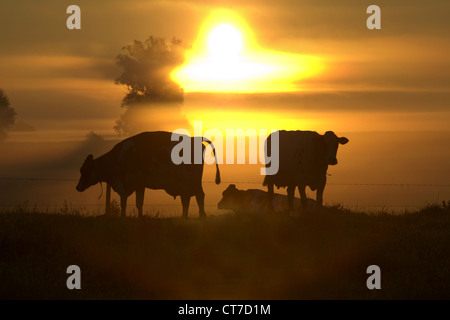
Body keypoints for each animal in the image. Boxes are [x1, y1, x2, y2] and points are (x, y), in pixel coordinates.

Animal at [76, 131, 221, 219]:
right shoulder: (139, 185)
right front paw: (140, 217)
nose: (77, 187)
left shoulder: (123, 183)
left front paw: (123, 217)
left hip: (189, 182)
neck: (117, 158)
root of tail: (195, 139)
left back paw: (198, 216)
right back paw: (189, 217)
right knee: (191, 198)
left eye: (84, 170)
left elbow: (124, 202)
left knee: (195, 197)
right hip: (190, 183)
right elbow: (139, 203)